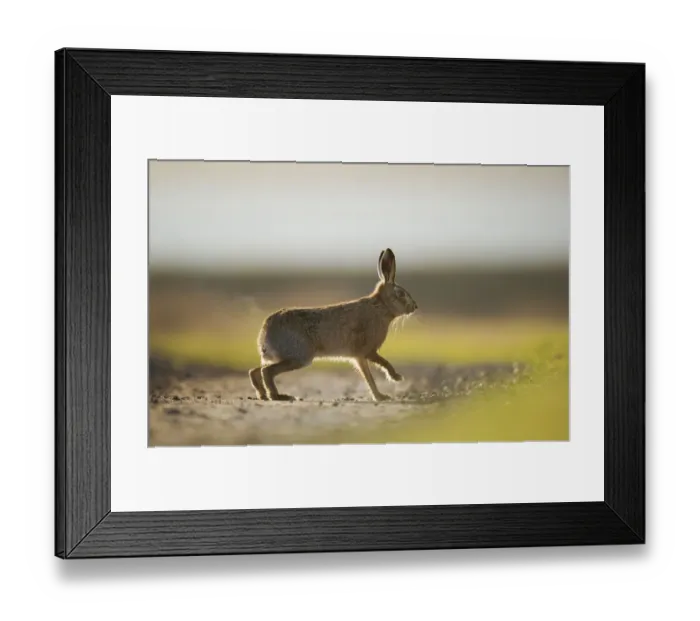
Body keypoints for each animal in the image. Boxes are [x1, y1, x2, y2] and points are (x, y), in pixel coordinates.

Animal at [249, 248, 418, 402]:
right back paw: (279, 396)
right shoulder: (366, 351)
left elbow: (369, 376)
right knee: (266, 371)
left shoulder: (360, 356)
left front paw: (381, 395)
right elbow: (378, 368)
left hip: (284, 356)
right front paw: (392, 383)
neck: (381, 307)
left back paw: (263, 395)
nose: (415, 307)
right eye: (401, 294)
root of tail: (265, 333)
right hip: (300, 356)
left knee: (255, 371)